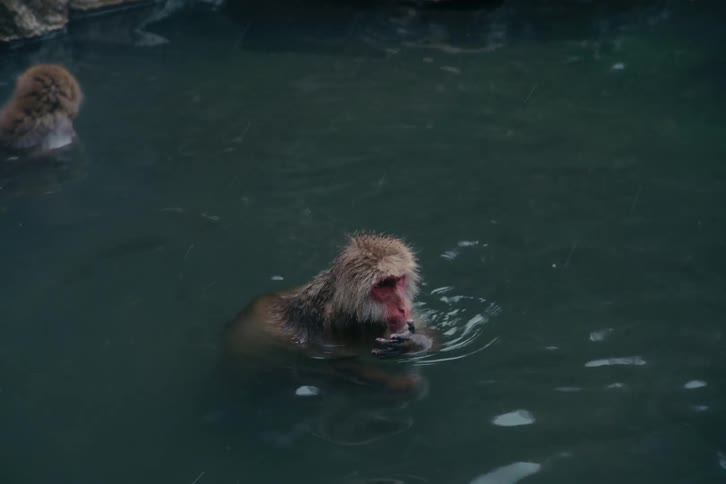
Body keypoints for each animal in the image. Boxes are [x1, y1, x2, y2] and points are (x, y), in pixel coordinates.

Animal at [222, 232, 436, 392]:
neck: (352, 310)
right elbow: (340, 365)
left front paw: (414, 342)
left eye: (398, 280)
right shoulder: (328, 329)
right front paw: (401, 384)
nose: (403, 307)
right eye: (383, 285)